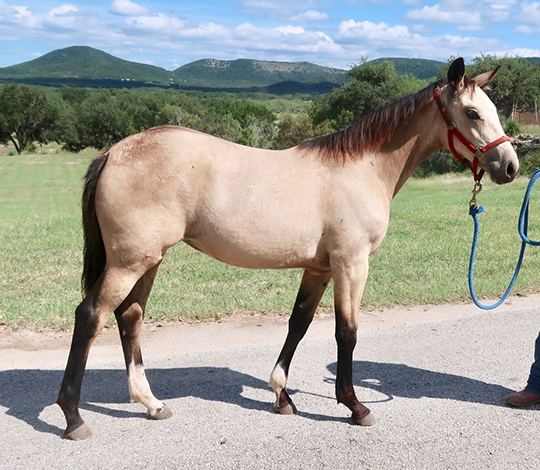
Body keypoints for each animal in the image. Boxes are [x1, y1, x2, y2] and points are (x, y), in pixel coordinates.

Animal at [56, 58, 520, 440]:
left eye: (495, 112)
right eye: (472, 113)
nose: (511, 167)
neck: (362, 168)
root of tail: (114, 152)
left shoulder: (319, 268)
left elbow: (299, 324)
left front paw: (282, 396)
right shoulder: (350, 264)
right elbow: (346, 332)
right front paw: (355, 406)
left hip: (148, 260)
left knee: (129, 317)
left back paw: (151, 404)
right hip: (128, 262)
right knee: (91, 316)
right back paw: (73, 417)